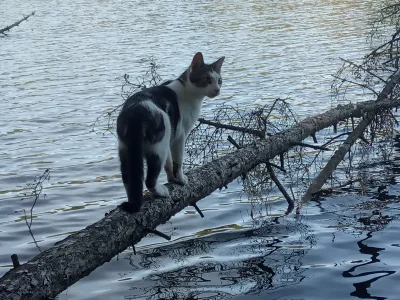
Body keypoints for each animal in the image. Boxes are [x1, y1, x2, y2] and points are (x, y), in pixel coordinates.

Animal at [116, 53, 225, 213]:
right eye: (206, 79)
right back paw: (161, 192)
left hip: (126, 150)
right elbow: (177, 162)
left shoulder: (170, 137)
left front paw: (172, 179)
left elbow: (168, 164)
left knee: (129, 179)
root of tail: (137, 110)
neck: (188, 92)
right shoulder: (180, 136)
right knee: (149, 180)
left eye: (219, 80)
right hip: (158, 146)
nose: (217, 89)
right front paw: (181, 179)